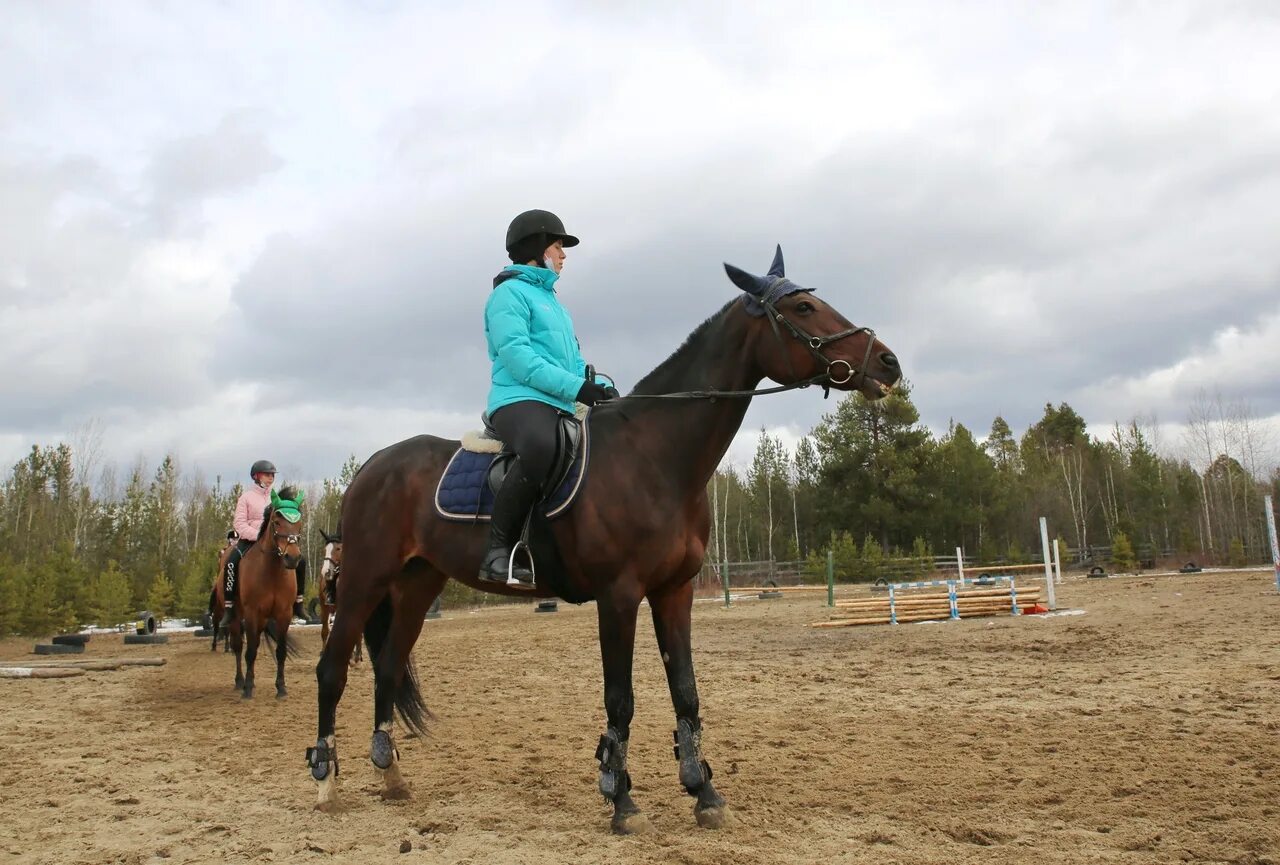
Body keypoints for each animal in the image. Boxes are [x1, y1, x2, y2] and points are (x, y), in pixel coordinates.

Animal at [230, 488, 304, 701]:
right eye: (276, 522)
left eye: (299, 523)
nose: (292, 558)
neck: (271, 572)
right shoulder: (251, 613)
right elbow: (250, 652)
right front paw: (247, 689)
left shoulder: (284, 614)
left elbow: (280, 651)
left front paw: (281, 688)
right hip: (236, 617)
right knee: (238, 646)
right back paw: (240, 681)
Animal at [308, 244, 901, 829]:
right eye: (802, 308)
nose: (887, 362)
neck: (655, 457)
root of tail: (370, 468)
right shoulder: (618, 596)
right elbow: (622, 698)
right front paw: (621, 799)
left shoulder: (674, 592)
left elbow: (686, 692)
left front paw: (703, 791)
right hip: (364, 582)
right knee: (331, 669)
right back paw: (325, 783)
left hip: (416, 585)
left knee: (387, 668)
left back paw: (391, 776)